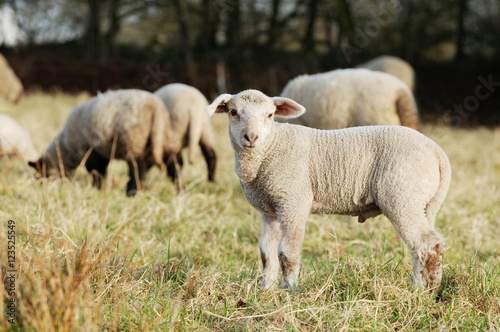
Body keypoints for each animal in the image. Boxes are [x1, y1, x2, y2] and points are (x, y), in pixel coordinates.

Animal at [29, 89, 182, 196]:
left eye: (43, 173)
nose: (40, 186)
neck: (66, 148)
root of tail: (155, 107)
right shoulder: (101, 152)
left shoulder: (90, 151)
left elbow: (96, 171)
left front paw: (96, 187)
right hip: (165, 138)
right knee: (173, 165)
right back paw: (180, 190)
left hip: (134, 140)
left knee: (137, 167)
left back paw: (131, 192)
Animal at [205, 89, 452, 292]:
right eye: (233, 112)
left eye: (270, 115)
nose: (251, 137)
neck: (271, 148)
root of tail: (437, 152)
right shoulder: (269, 210)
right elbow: (266, 251)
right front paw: (265, 289)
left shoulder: (293, 201)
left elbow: (287, 251)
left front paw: (289, 291)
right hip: (423, 203)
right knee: (432, 244)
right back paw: (432, 287)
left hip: (402, 195)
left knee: (426, 244)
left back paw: (419, 291)